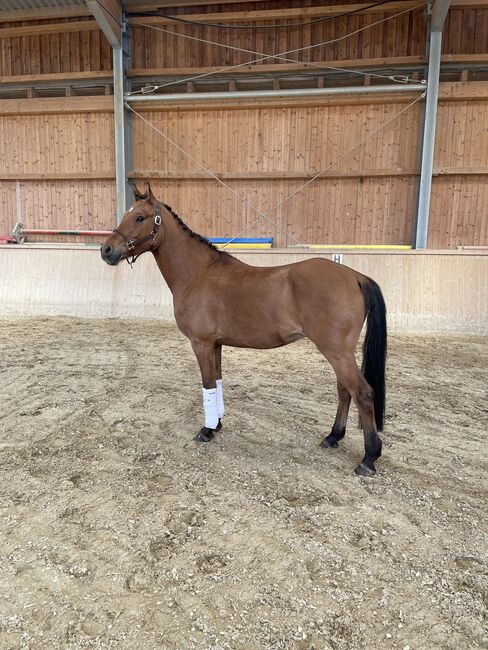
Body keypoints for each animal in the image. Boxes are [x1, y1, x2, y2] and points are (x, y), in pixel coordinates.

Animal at [101, 185, 386, 474]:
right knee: (344, 390)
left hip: (336, 352)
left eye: (140, 217)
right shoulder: (215, 344)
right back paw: (333, 436)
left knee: (362, 393)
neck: (197, 273)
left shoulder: (201, 343)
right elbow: (217, 381)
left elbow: (207, 384)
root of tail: (355, 276)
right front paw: (217, 424)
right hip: (338, 353)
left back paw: (368, 458)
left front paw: (206, 430)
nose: (106, 250)